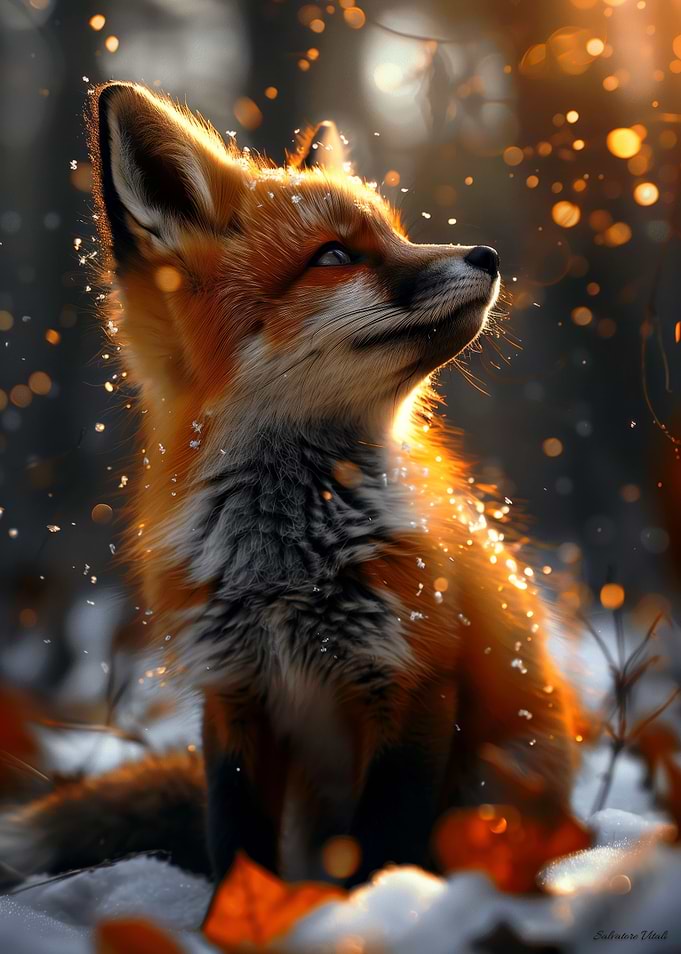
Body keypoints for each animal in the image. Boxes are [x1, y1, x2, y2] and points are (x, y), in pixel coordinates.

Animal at [0, 83, 579, 889]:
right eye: (334, 255)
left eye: (398, 234)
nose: (487, 255)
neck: (285, 564)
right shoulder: (232, 694)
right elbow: (235, 843)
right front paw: (239, 912)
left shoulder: (414, 681)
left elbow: (382, 845)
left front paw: (377, 907)